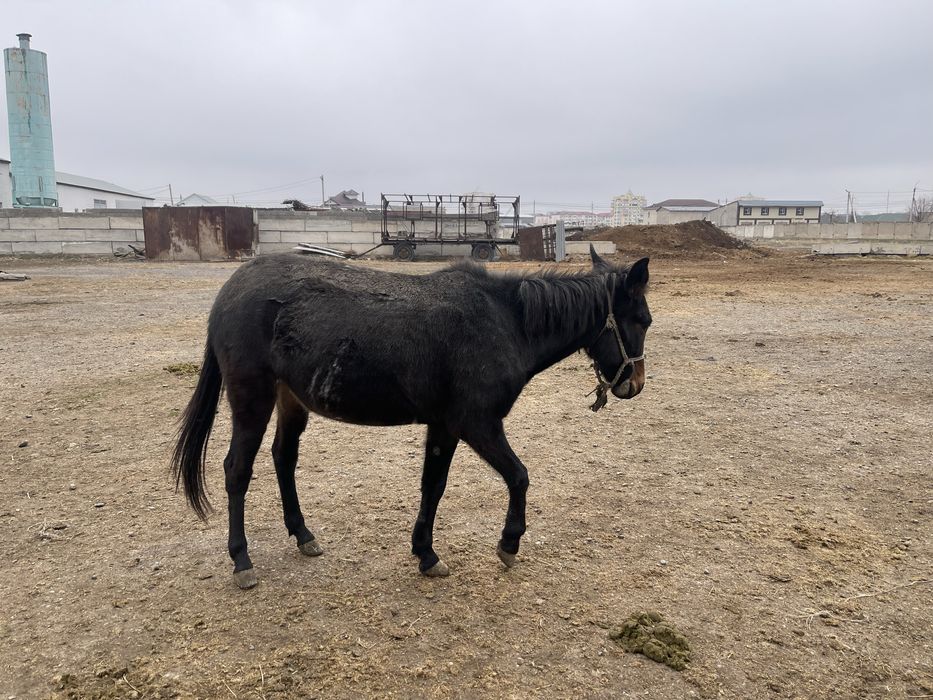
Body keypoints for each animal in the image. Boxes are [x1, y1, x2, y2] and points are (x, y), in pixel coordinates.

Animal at [172, 246, 651, 588]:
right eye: (642, 320)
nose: (635, 384)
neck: (505, 324)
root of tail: (230, 291)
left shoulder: (444, 426)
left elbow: (432, 487)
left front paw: (425, 553)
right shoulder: (477, 424)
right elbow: (519, 477)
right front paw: (509, 543)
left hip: (291, 399)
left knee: (283, 458)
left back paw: (303, 535)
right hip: (251, 398)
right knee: (237, 470)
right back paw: (242, 560)